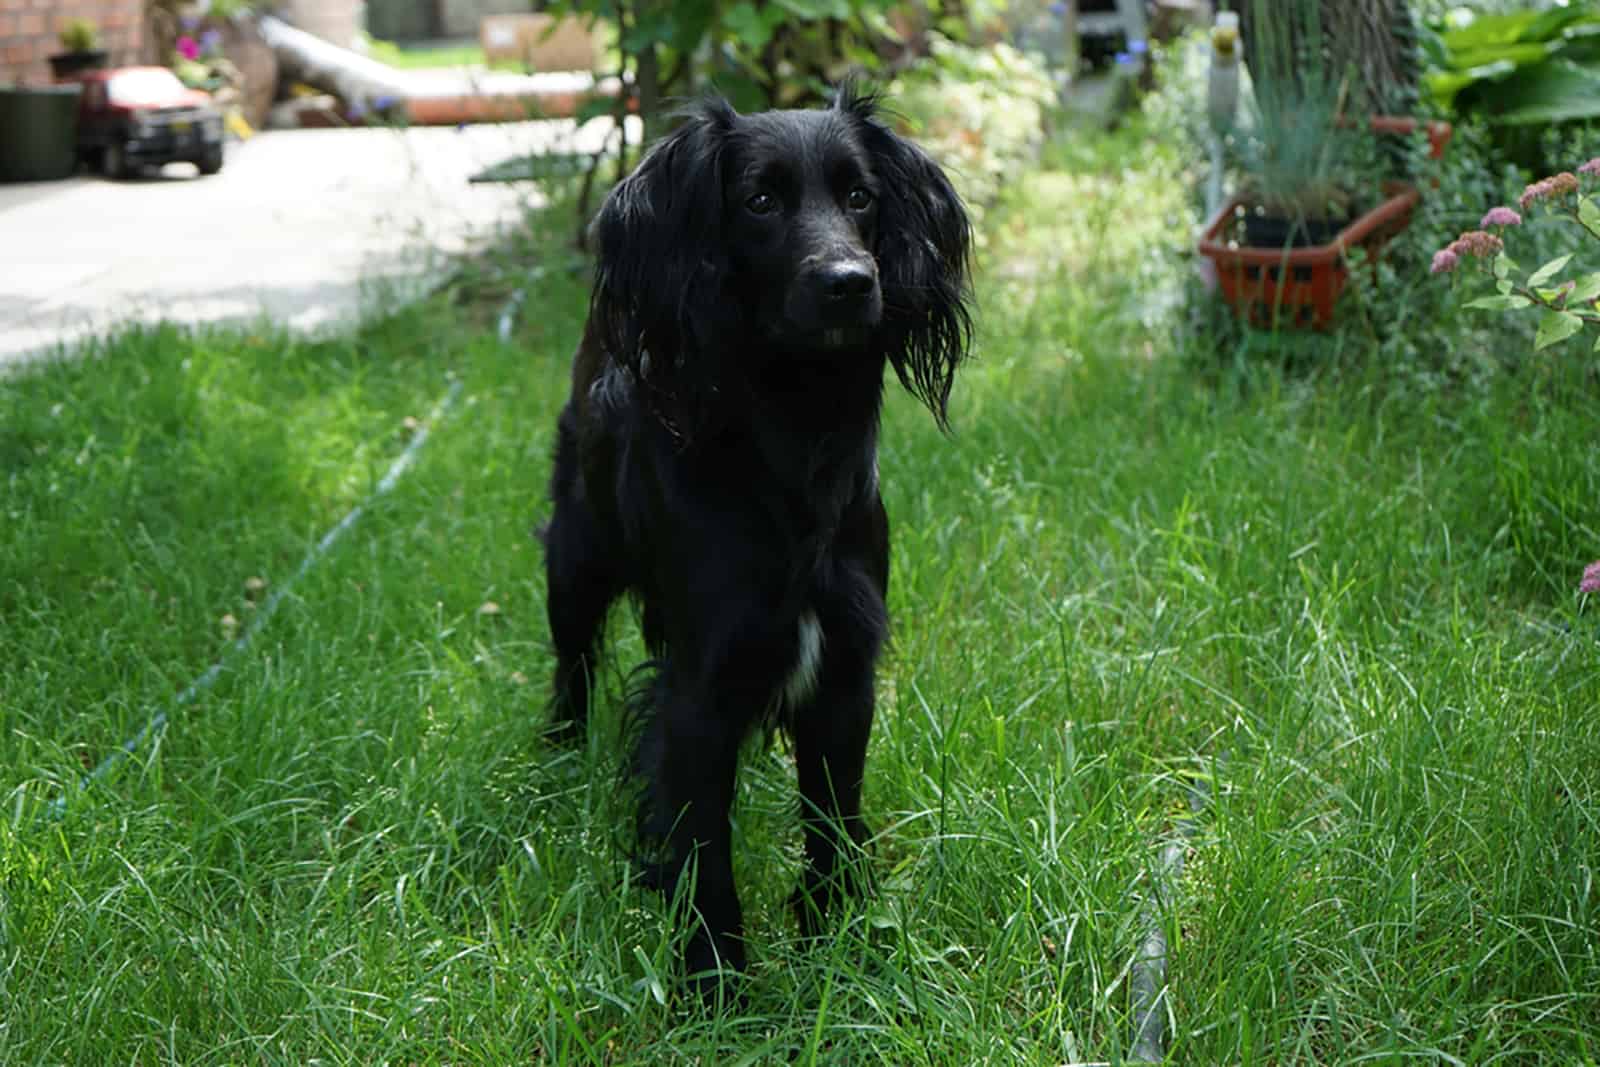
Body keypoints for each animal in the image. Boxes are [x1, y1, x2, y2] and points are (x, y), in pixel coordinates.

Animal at [540, 87, 972, 991]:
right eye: (761, 201)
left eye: (861, 197)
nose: (850, 283)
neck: (793, 433)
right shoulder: (701, 686)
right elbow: (704, 851)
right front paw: (715, 985)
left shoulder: (843, 665)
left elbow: (834, 817)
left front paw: (841, 946)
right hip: (575, 555)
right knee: (574, 659)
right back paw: (557, 756)